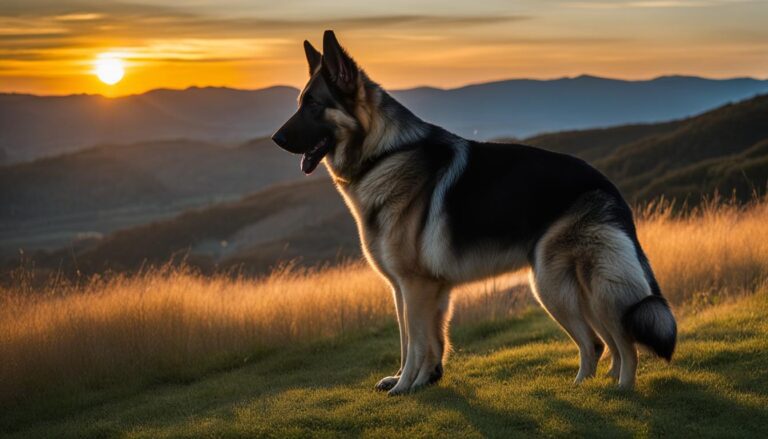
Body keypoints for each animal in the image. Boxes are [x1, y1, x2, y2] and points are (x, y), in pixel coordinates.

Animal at [272, 31, 676, 396]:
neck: (384, 154)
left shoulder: (415, 287)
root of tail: (609, 187)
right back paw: (601, 383)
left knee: (612, 340)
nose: (276, 139)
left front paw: (403, 386)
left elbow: (416, 342)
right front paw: (424, 380)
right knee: (608, 341)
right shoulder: (413, 290)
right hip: (576, 287)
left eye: (313, 105)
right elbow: (420, 341)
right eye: (299, 102)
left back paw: (617, 389)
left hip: (556, 284)